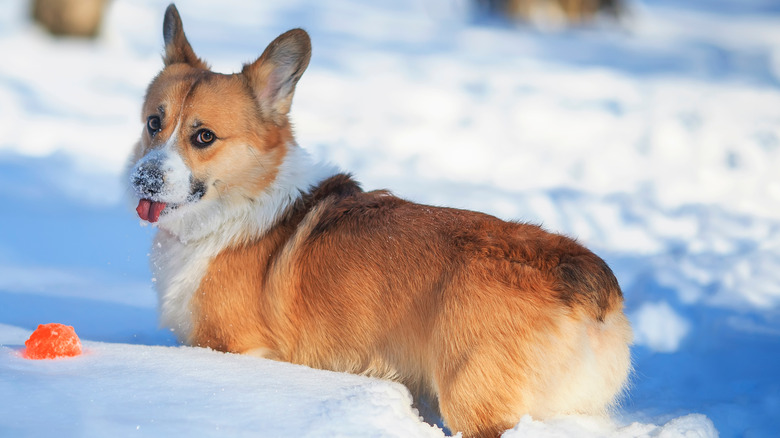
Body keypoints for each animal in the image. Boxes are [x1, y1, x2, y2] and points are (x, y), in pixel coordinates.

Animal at [126, 5, 628, 436]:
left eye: (204, 136)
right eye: (153, 123)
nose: (143, 178)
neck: (237, 208)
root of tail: (586, 280)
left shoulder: (234, 345)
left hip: (472, 401)